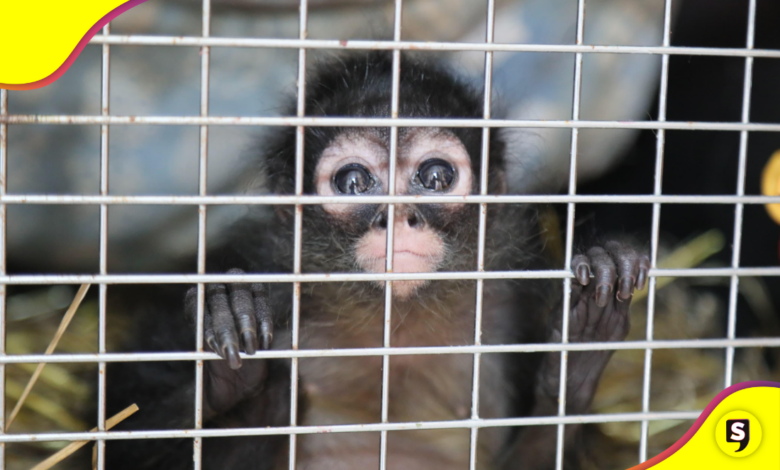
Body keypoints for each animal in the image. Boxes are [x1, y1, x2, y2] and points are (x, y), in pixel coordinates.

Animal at [101, 52, 650, 470]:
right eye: (354, 182)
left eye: (435, 177)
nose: (397, 216)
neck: (395, 321)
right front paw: (236, 354)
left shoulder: (513, 299)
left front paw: (582, 343)